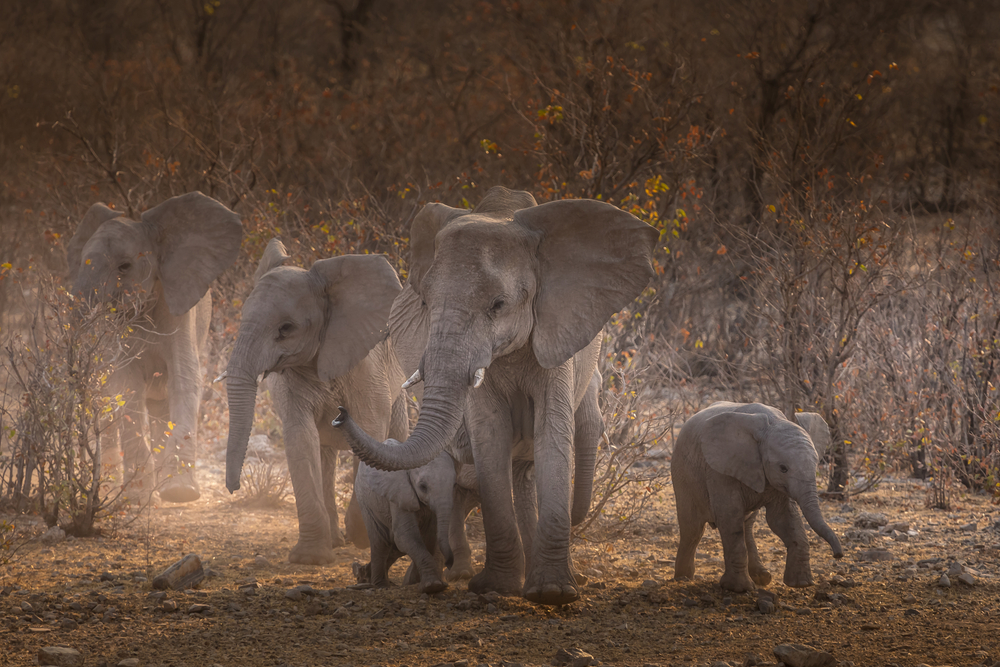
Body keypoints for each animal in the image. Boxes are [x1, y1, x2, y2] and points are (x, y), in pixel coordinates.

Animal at [67, 190, 243, 504]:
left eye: (124, 266)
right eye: (81, 261)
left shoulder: (180, 309)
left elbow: (185, 377)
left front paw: (180, 493)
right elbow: (126, 385)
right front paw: (137, 498)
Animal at [224, 239, 410, 564]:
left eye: (286, 328)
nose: (233, 487)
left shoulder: (368, 365)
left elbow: (371, 428)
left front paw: (361, 537)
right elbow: (300, 438)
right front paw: (310, 558)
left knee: (396, 433)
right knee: (324, 453)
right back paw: (335, 541)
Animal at [354, 452, 456, 592]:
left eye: (454, 485)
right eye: (423, 487)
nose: (449, 564)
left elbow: (430, 537)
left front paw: (422, 583)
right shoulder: (399, 494)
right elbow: (405, 536)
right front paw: (432, 586)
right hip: (364, 499)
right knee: (380, 541)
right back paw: (380, 585)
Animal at [672, 400, 844, 592]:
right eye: (783, 468)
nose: (838, 555)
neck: (772, 422)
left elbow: (783, 518)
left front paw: (801, 584)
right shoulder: (720, 469)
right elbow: (729, 515)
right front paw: (739, 589)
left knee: (746, 525)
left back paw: (762, 578)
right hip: (683, 475)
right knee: (693, 529)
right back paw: (683, 578)